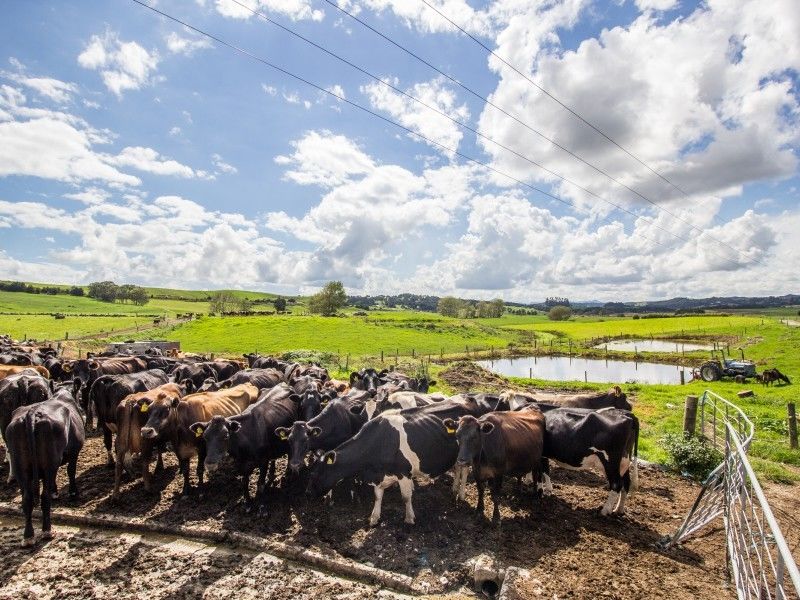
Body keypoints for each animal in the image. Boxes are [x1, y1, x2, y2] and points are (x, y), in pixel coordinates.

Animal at [5, 382, 85, 548]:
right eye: (80, 396)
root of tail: (32, 413)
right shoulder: (74, 452)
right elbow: (71, 471)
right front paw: (73, 492)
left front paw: (56, 491)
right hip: (49, 463)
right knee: (44, 496)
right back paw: (47, 530)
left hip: (21, 466)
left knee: (27, 499)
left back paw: (28, 536)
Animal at [306, 396, 506, 528]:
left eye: (314, 473)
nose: (307, 494)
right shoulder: (379, 475)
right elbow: (377, 496)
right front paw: (374, 517)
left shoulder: (403, 472)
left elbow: (406, 497)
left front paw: (409, 518)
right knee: (457, 468)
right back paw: (454, 489)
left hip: (467, 452)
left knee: (463, 470)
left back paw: (462, 494)